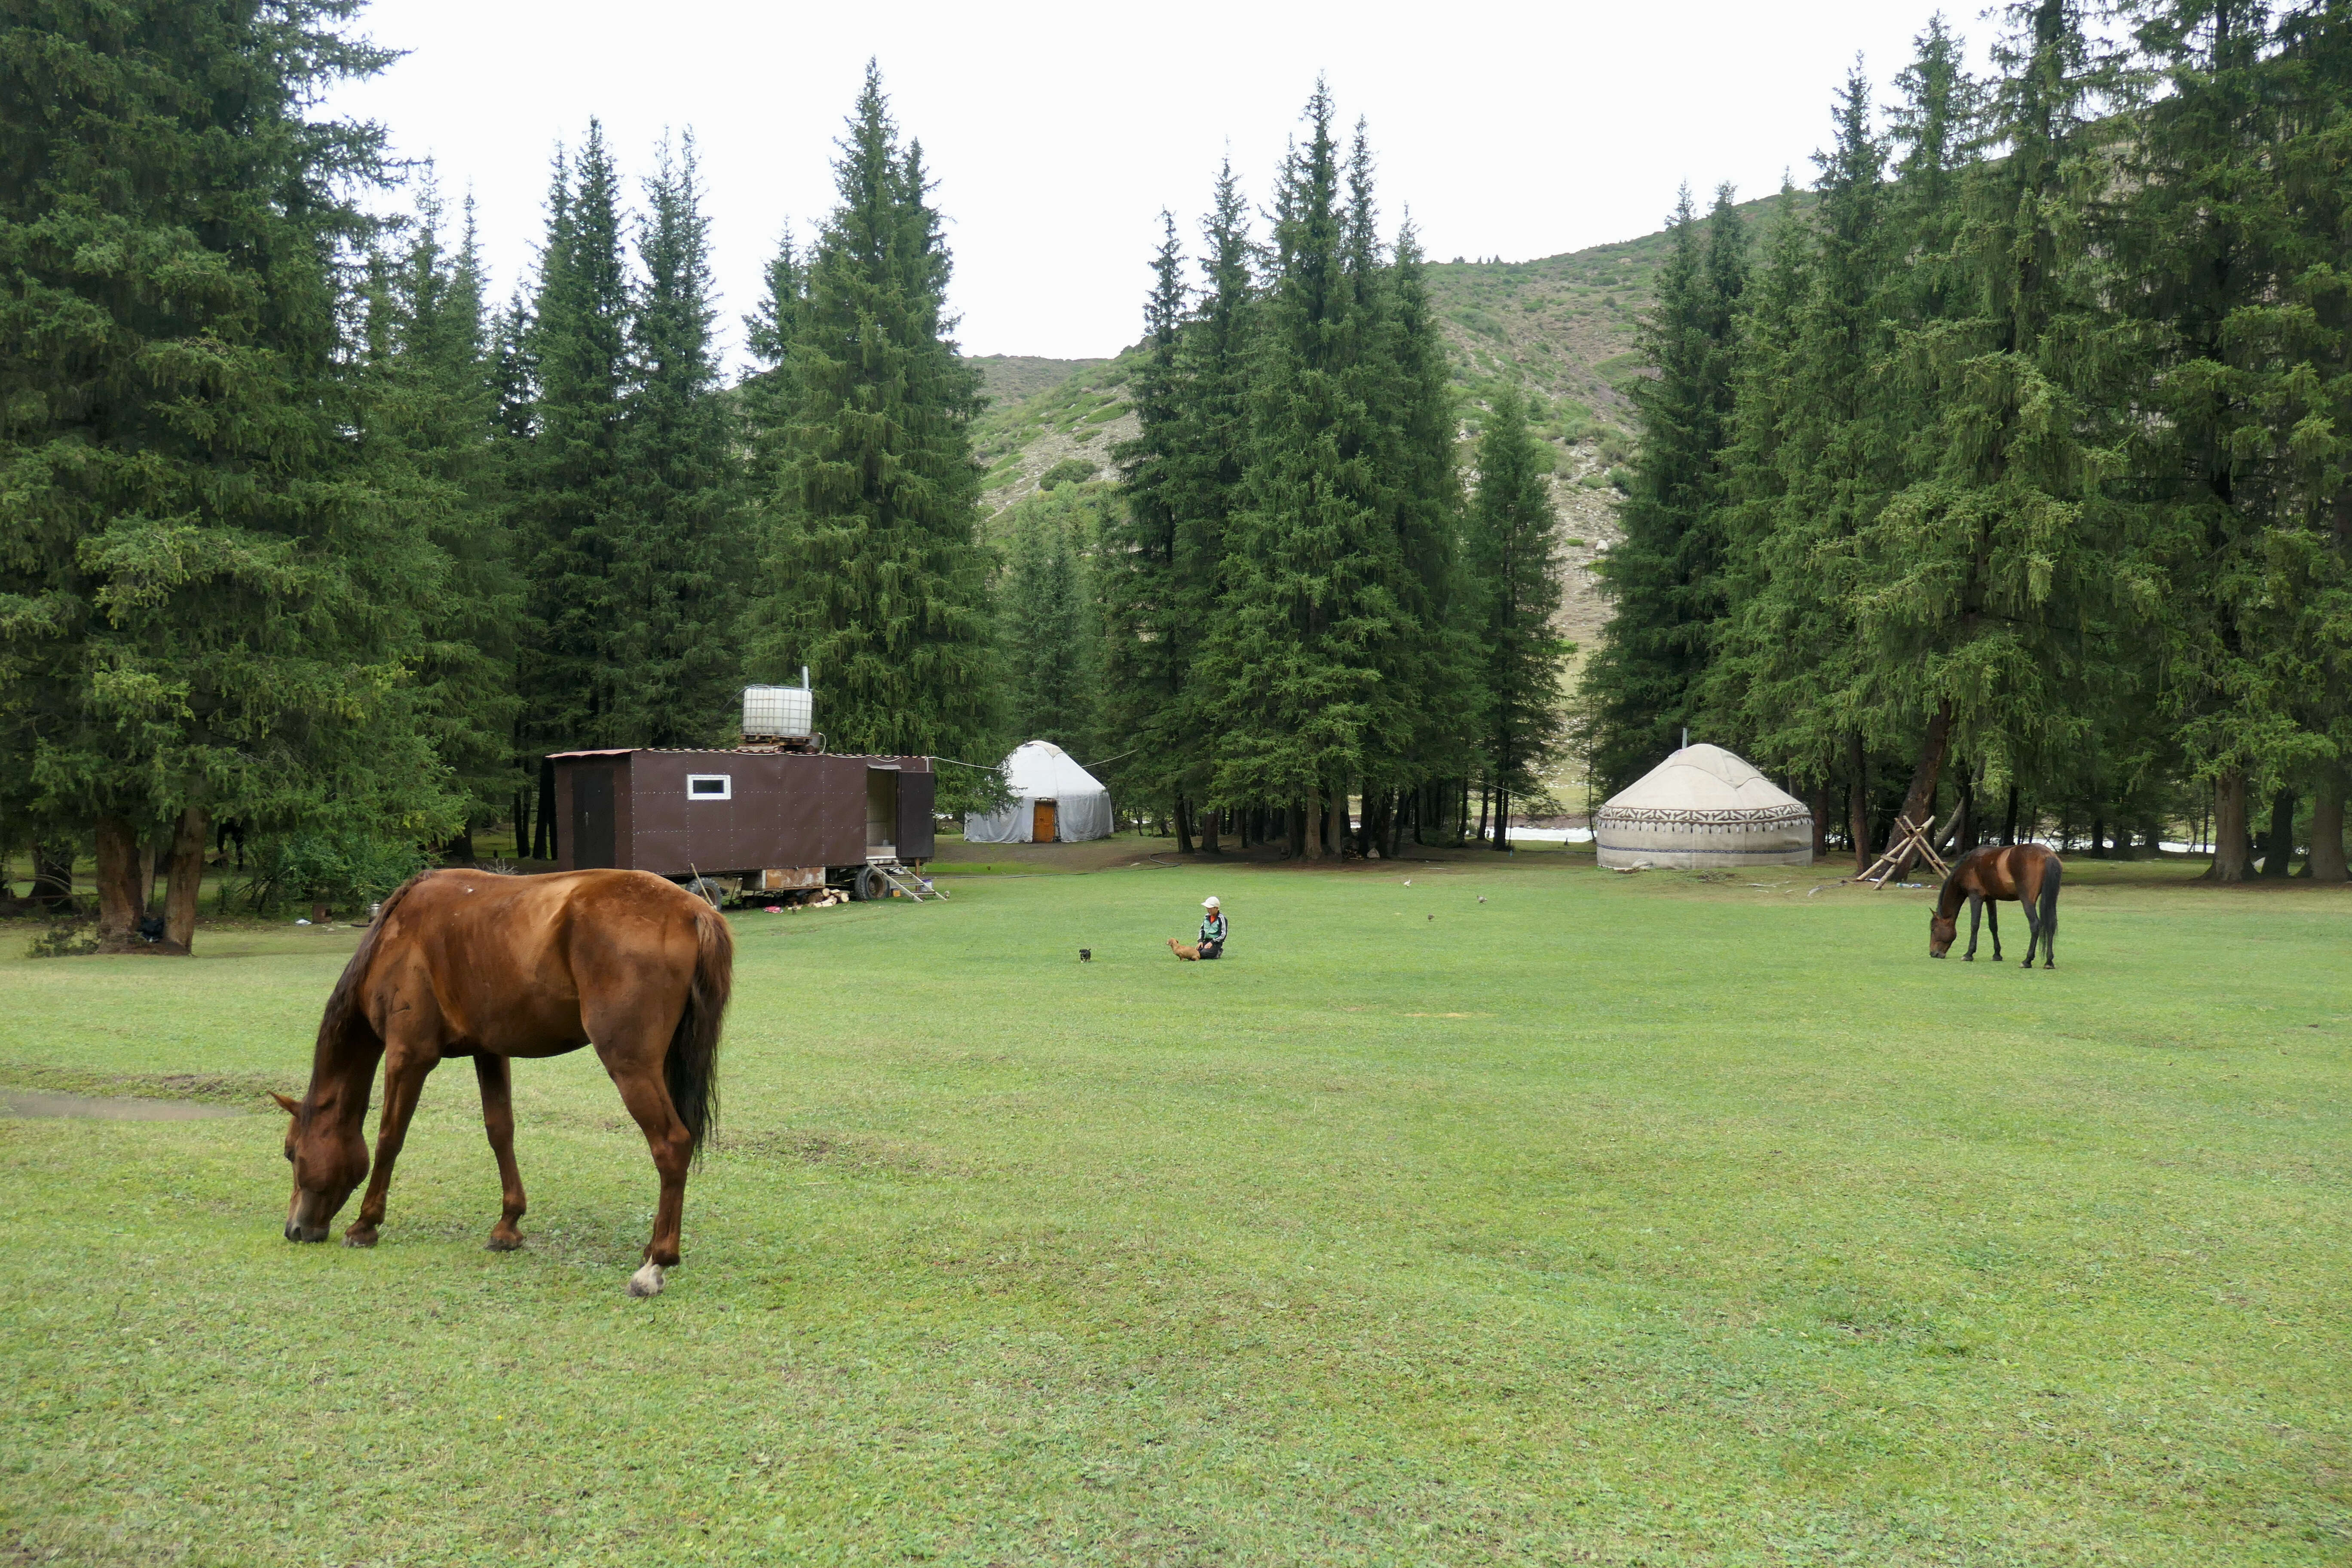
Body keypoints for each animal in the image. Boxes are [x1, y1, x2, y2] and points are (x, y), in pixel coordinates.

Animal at [1929, 846, 2060, 968]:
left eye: (1933, 929)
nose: (1933, 953)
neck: (1968, 865)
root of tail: (2048, 855)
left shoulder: (1975, 897)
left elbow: (1974, 925)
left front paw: (1969, 954)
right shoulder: (1990, 899)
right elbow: (1993, 925)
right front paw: (1997, 955)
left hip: (2027, 900)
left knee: (2035, 925)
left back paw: (2027, 961)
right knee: (2051, 925)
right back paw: (2049, 962)